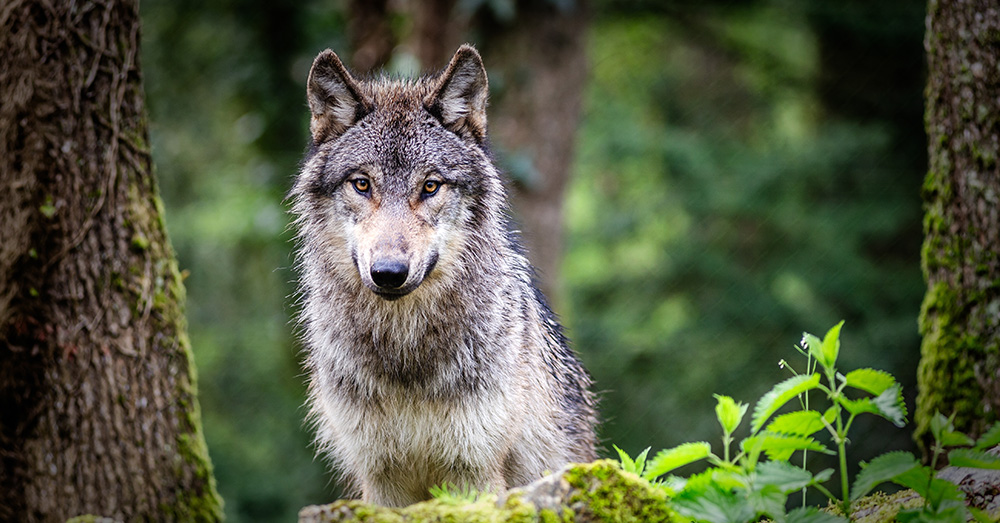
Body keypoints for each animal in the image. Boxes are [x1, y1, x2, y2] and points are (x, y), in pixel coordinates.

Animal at [290, 44, 597, 507]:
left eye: (431, 186)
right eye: (362, 184)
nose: (388, 273)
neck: (406, 355)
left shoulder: (473, 471)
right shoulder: (380, 478)